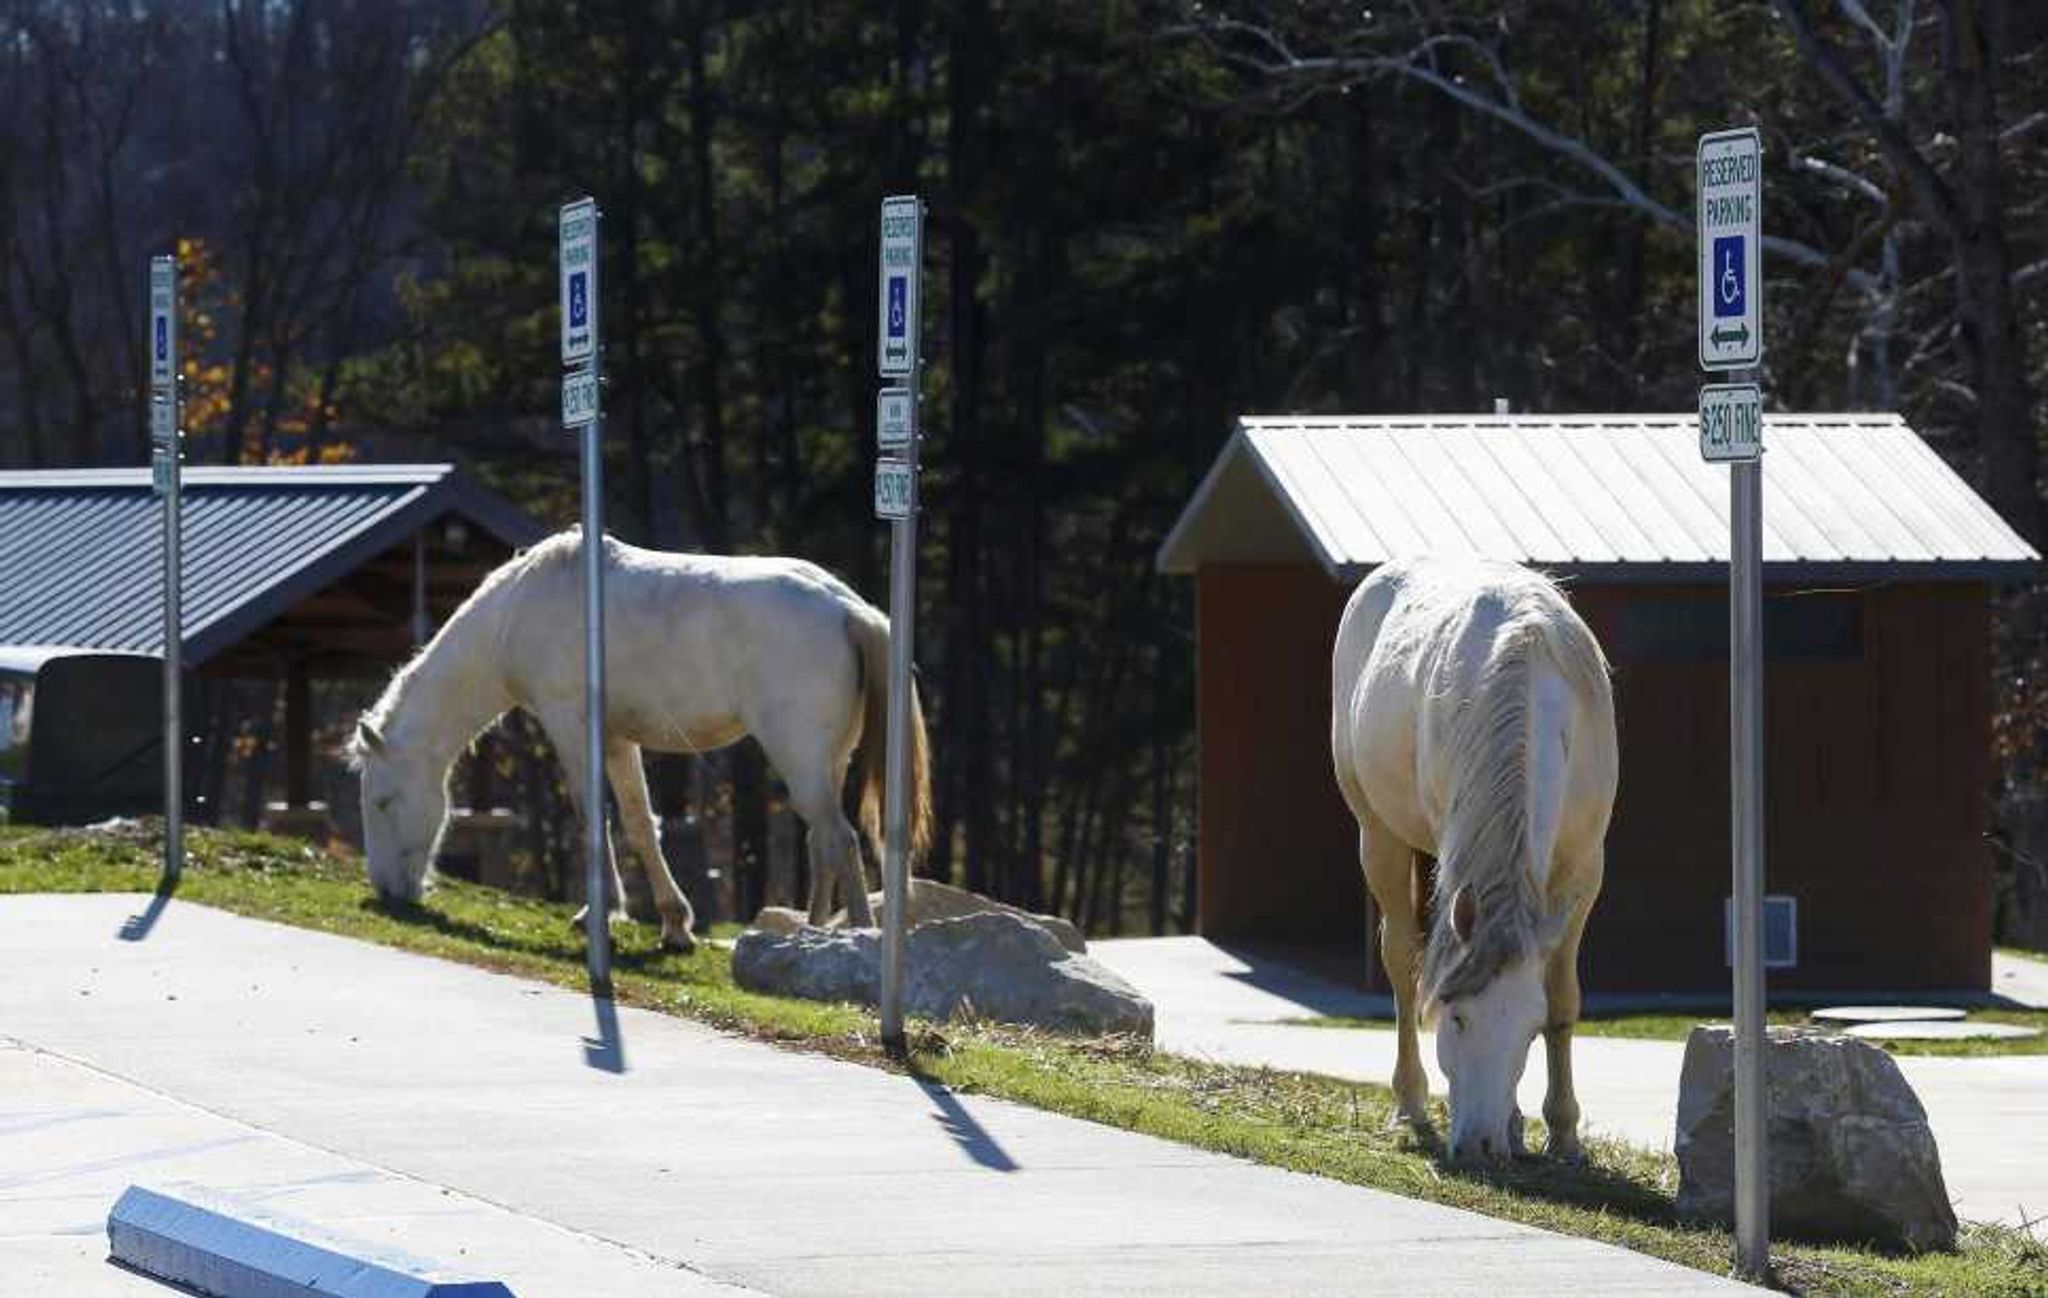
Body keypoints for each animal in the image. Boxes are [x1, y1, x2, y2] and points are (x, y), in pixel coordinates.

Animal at [348, 528, 933, 949]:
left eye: (382, 802)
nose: (387, 892)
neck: (518, 609)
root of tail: (847, 610)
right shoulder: (615, 739)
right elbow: (638, 824)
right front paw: (674, 925)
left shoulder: (570, 722)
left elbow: (592, 817)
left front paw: (599, 914)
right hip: (826, 764)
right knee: (822, 841)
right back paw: (811, 932)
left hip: (802, 761)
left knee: (839, 839)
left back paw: (854, 937)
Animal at [1335, 552, 1622, 1154]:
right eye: (1457, 1018)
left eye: (1529, 1030)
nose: (1480, 1146)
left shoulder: (1584, 869)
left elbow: (1563, 996)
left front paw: (1562, 1134)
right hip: (1377, 834)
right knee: (1401, 959)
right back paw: (1411, 1103)